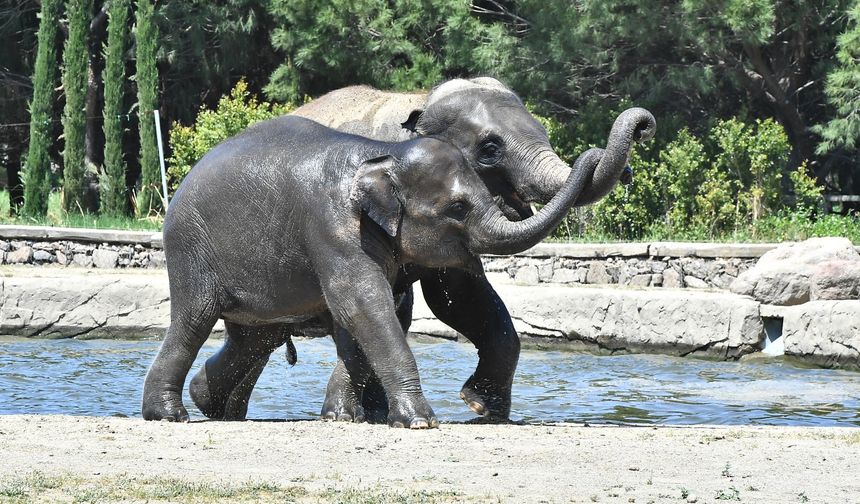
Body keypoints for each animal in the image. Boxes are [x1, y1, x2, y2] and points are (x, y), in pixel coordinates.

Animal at [143, 115, 596, 430]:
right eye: (457, 208)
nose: (593, 152)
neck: (382, 153)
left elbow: (367, 315)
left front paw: (342, 417)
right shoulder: (334, 227)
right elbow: (362, 302)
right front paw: (420, 422)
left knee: (254, 339)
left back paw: (212, 406)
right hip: (190, 247)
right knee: (195, 320)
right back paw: (170, 416)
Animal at [191, 77, 656, 424]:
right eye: (490, 148)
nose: (640, 132)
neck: (421, 101)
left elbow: (464, 297)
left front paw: (482, 408)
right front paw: (347, 417)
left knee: (257, 339)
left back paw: (214, 407)